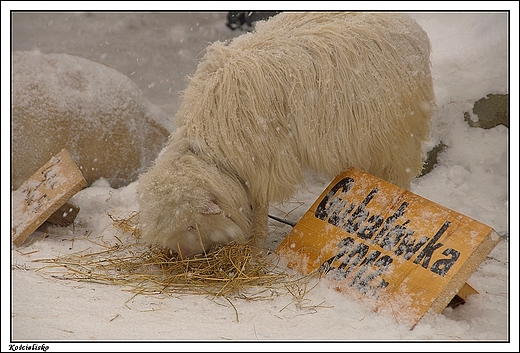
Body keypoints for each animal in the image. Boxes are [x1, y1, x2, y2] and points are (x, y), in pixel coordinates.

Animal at [137, 13, 434, 256]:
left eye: (191, 225)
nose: (182, 254)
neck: (207, 147)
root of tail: (410, 25)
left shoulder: (262, 163)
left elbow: (259, 206)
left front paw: (255, 248)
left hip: (398, 134)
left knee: (399, 175)